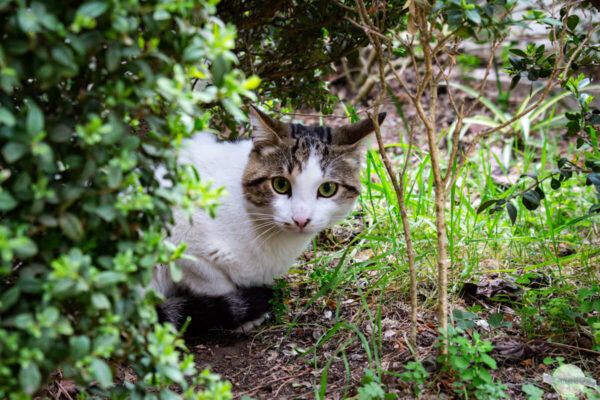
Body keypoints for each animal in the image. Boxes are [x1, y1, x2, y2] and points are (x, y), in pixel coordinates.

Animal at [152, 106, 386, 338]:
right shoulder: (181, 243)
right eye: (280, 184)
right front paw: (243, 316)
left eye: (327, 188)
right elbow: (214, 282)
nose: (301, 219)